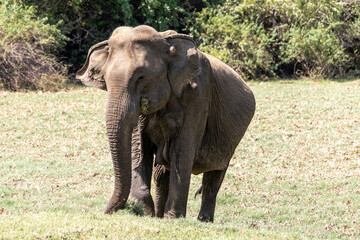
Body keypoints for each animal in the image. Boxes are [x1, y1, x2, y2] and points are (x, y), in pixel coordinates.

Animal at [76, 25, 256, 222]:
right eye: (106, 80)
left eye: (140, 77)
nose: (106, 212)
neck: (166, 42)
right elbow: (139, 148)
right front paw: (145, 211)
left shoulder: (198, 96)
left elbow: (182, 151)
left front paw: (173, 218)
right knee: (162, 174)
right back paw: (160, 216)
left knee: (214, 176)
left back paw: (203, 220)